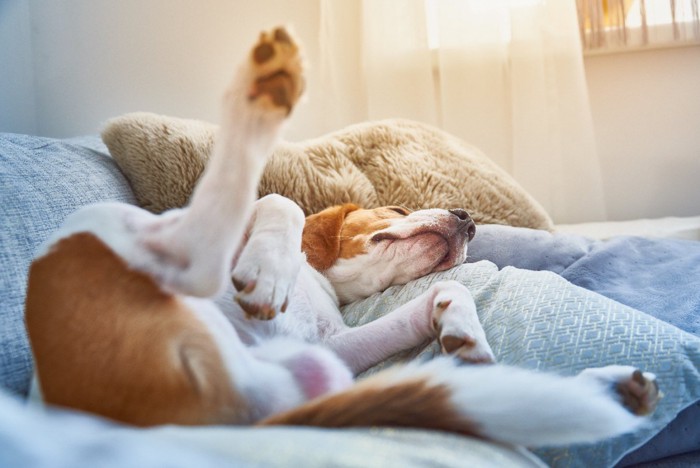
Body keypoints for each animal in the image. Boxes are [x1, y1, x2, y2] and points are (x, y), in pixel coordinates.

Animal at [24, 27, 660, 448]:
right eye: (398, 206)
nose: (468, 219)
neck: (316, 279)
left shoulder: (333, 346)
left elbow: (444, 294)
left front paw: (462, 327)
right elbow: (278, 200)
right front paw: (269, 267)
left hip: (306, 376)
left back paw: (608, 387)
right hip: (92, 233)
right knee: (194, 255)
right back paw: (261, 89)